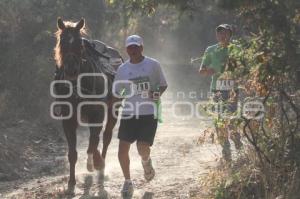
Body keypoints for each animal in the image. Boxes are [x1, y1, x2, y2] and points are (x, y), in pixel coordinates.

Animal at [53, 17, 120, 194]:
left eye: (79, 44)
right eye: (62, 41)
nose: (70, 70)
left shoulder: (97, 114)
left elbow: (94, 141)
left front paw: (95, 163)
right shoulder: (68, 118)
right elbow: (73, 152)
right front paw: (71, 184)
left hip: (114, 109)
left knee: (106, 137)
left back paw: (100, 166)